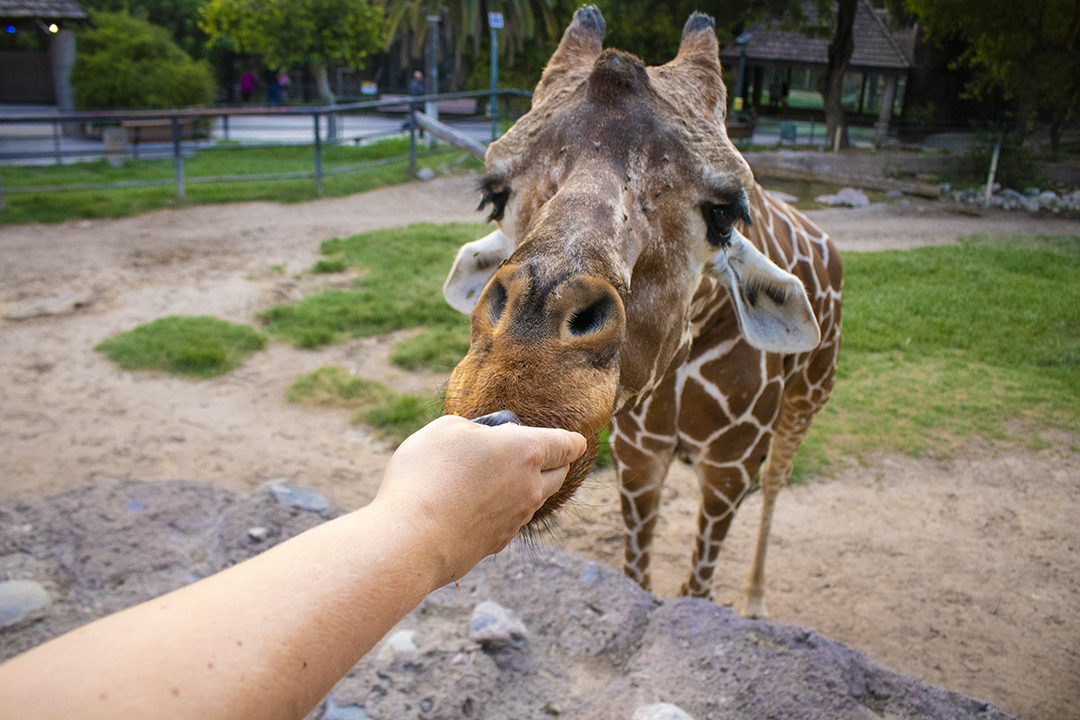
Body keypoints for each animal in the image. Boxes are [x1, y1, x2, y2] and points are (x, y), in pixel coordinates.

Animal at [440, 5, 842, 621]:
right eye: (495, 195)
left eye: (725, 213)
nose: (523, 384)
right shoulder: (638, 453)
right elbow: (638, 572)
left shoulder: (730, 464)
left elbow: (698, 588)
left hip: (807, 399)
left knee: (777, 479)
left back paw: (755, 600)